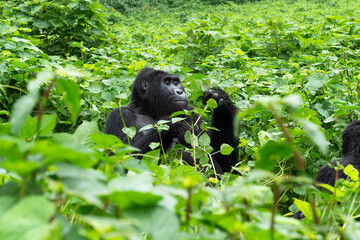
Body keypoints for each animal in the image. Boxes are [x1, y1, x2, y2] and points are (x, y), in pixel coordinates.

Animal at [104, 67, 239, 174]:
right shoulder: (119, 115)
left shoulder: (191, 111)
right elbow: (119, 160)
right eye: (167, 82)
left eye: (176, 82)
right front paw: (174, 125)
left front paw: (222, 101)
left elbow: (225, 164)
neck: (149, 110)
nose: (180, 91)